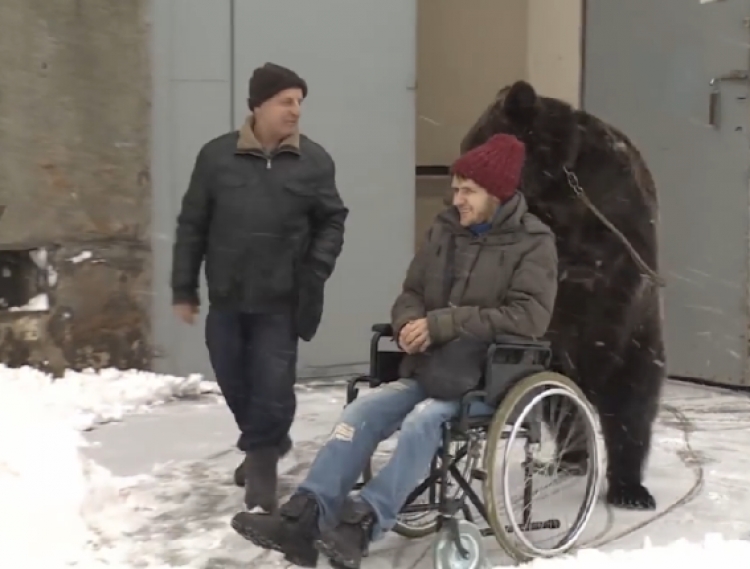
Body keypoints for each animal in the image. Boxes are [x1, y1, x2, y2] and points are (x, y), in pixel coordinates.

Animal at [464, 80, 668, 510]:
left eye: (477, 149)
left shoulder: (614, 217)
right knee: (563, 402)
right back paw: (571, 457)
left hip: (639, 344)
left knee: (632, 404)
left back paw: (629, 488)